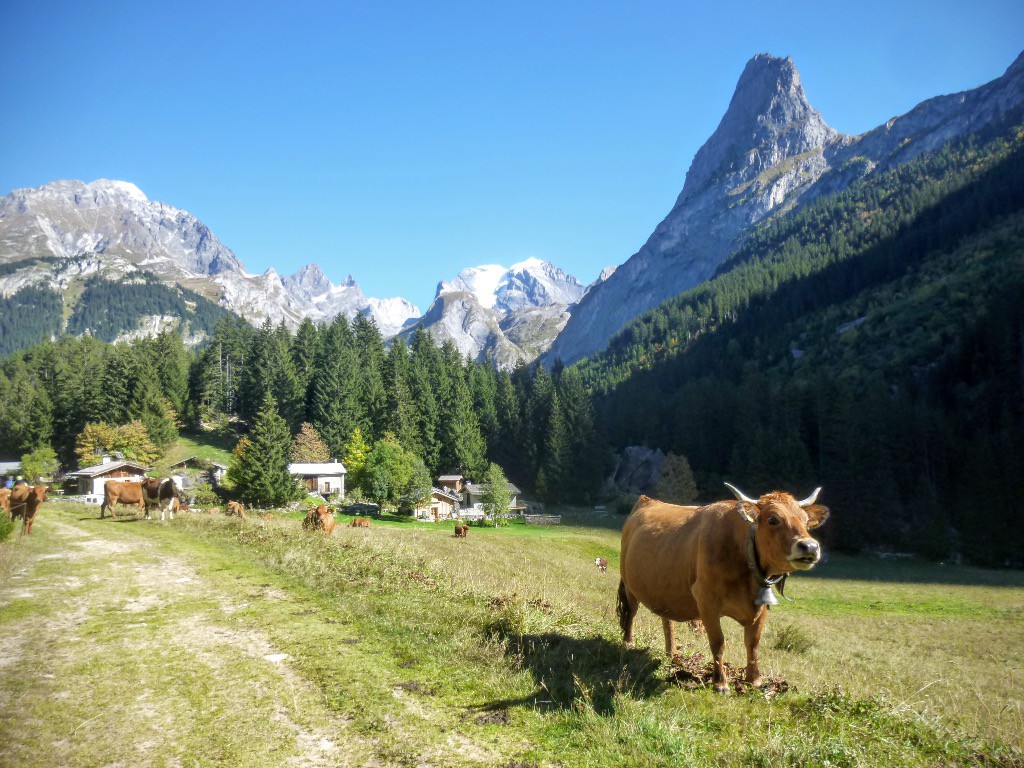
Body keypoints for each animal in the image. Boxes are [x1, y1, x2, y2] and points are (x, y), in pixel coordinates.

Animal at [614, 483, 831, 696]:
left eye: (805, 521)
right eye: (773, 519)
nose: (810, 546)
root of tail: (647, 500)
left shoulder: (762, 607)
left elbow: (753, 643)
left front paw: (754, 680)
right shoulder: (706, 601)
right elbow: (718, 642)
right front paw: (720, 683)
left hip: (665, 589)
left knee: (667, 621)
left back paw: (672, 653)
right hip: (629, 583)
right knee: (632, 612)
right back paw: (628, 642)